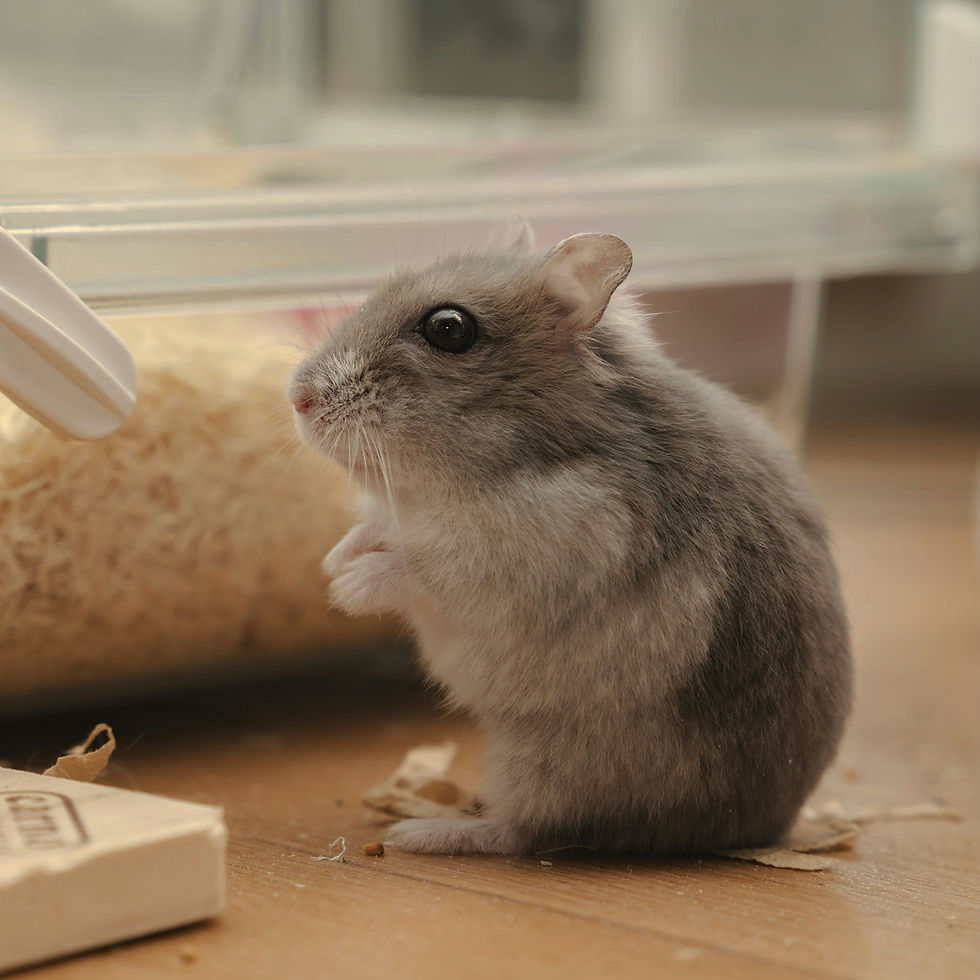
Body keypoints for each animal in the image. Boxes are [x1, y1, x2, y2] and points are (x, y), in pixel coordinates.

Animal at [288, 232, 851, 856]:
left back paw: (421, 830)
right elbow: (377, 530)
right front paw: (334, 559)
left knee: (525, 830)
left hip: (550, 757)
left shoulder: (538, 551)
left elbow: (420, 566)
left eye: (448, 328)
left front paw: (345, 588)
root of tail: (762, 828)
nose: (297, 398)